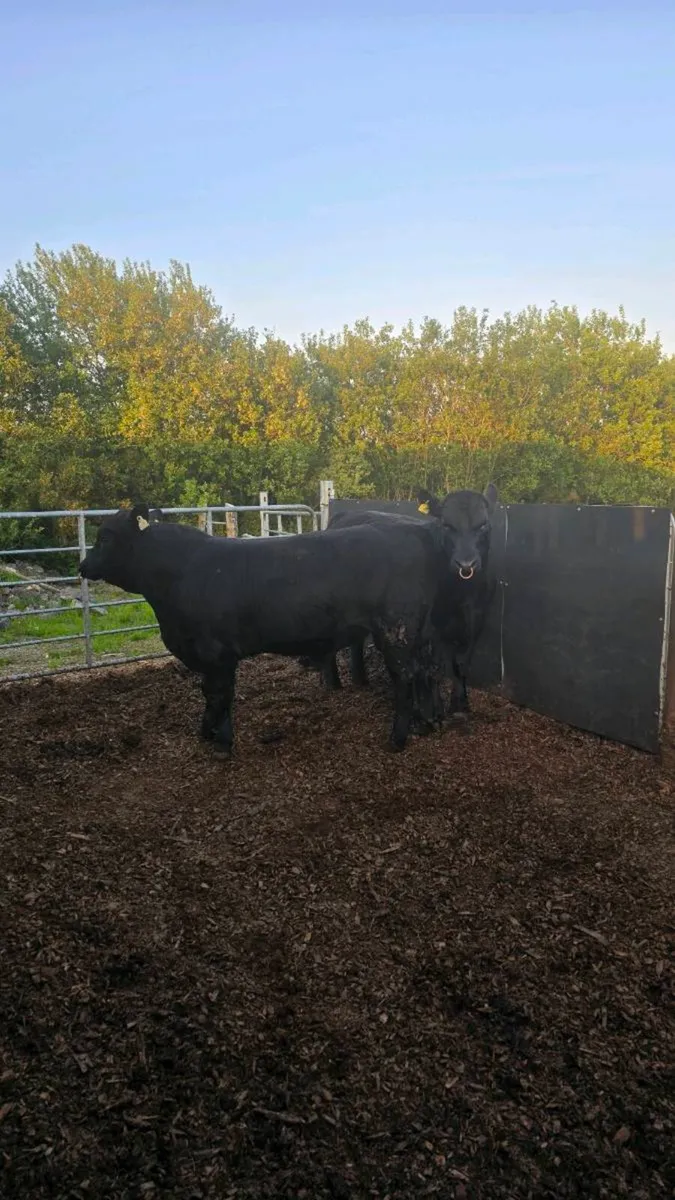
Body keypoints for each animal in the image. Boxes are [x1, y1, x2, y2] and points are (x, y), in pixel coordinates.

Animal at [79, 505, 450, 754]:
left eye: (106, 536)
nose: (83, 565)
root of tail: (416, 530)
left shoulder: (215, 652)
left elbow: (219, 693)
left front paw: (220, 742)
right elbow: (213, 693)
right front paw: (210, 733)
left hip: (396, 629)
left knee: (404, 677)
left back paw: (398, 738)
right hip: (417, 632)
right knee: (423, 672)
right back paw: (425, 724)